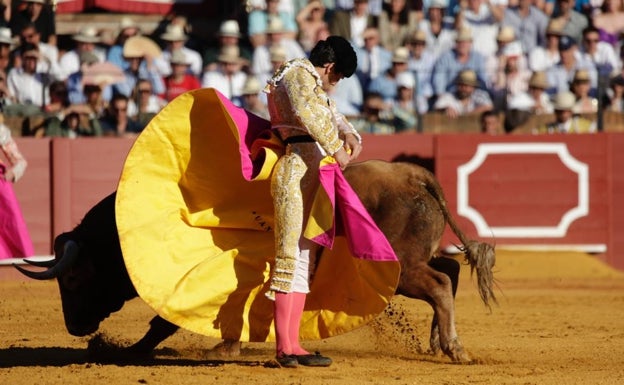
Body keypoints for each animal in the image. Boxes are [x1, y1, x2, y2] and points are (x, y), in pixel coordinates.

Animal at [13, 159, 498, 364]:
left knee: (440, 284)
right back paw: (437, 343)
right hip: (412, 261)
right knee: (450, 271)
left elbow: (164, 321)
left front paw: (131, 351)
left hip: (399, 270)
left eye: (73, 278)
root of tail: (415, 173)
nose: (76, 327)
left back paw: (455, 350)